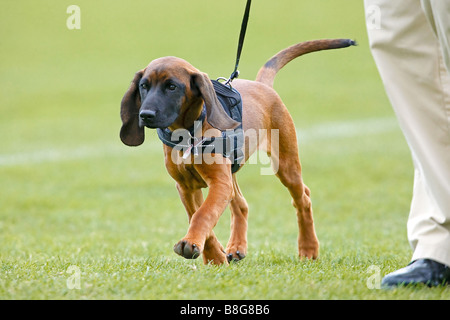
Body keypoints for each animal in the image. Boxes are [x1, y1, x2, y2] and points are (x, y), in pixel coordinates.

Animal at [119, 38, 356, 264]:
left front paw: (196, 245)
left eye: (171, 87)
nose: (145, 115)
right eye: (143, 86)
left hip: (285, 164)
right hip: (232, 172)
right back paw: (236, 247)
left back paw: (308, 249)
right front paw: (213, 256)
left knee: (303, 198)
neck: (187, 132)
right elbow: (200, 217)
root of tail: (262, 85)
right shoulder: (186, 187)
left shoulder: (218, 183)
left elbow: (203, 214)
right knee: (241, 204)